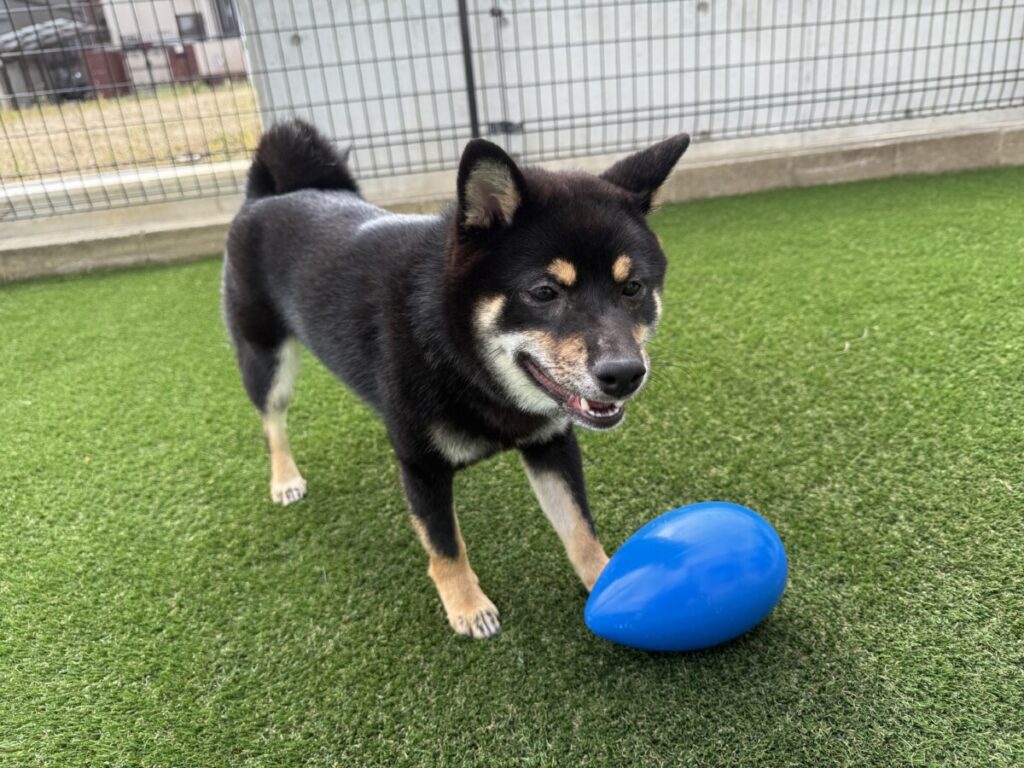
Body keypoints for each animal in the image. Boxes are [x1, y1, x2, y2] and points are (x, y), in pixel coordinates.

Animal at [223, 120, 689, 638]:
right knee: (273, 422)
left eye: (633, 288)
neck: (460, 358)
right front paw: (467, 606)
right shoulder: (421, 466)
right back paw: (285, 478)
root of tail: (264, 198)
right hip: (267, 358)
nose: (625, 373)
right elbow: (445, 545)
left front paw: (608, 580)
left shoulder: (551, 443)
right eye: (544, 292)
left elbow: (579, 527)